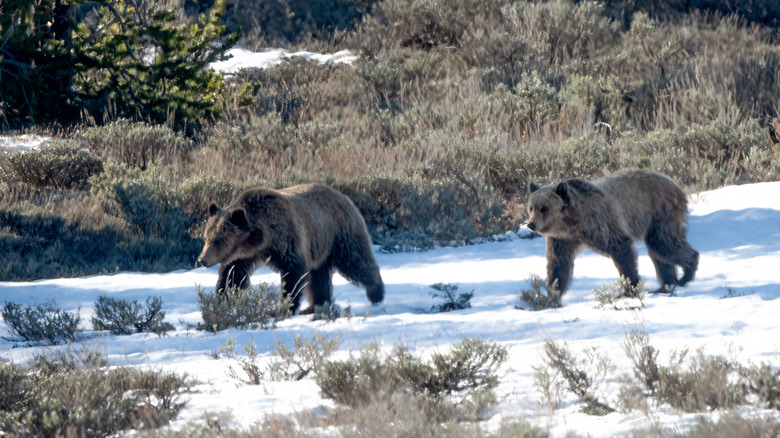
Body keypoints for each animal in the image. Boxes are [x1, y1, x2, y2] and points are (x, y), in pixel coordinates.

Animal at [197, 183, 385, 314]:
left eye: (218, 240)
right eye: (206, 237)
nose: (202, 260)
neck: (261, 238)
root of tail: (344, 197)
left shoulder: (287, 240)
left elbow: (293, 274)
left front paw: (284, 307)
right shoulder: (243, 255)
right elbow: (232, 276)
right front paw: (221, 300)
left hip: (339, 235)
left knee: (355, 262)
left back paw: (376, 293)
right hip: (319, 247)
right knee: (319, 277)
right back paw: (316, 306)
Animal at [526, 168, 699, 296]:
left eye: (544, 208)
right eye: (531, 207)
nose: (531, 224)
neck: (573, 224)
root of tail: (673, 182)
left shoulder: (601, 222)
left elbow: (621, 249)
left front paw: (631, 286)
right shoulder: (561, 239)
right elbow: (558, 263)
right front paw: (553, 293)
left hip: (660, 213)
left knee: (663, 244)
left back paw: (687, 272)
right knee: (659, 252)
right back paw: (666, 286)